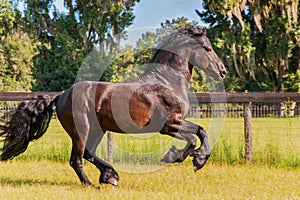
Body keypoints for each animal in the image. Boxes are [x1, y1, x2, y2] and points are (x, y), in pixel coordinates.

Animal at [0, 25, 225, 187]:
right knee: (76, 159)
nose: (222, 72)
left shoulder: (173, 124)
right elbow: (196, 136)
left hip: (97, 130)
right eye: (207, 49)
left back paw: (110, 176)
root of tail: (61, 96)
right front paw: (191, 159)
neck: (167, 82)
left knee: (88, 154)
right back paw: (92, 184)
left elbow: (199, 133)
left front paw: (189, 157)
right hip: (81, 130)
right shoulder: (169, 124)